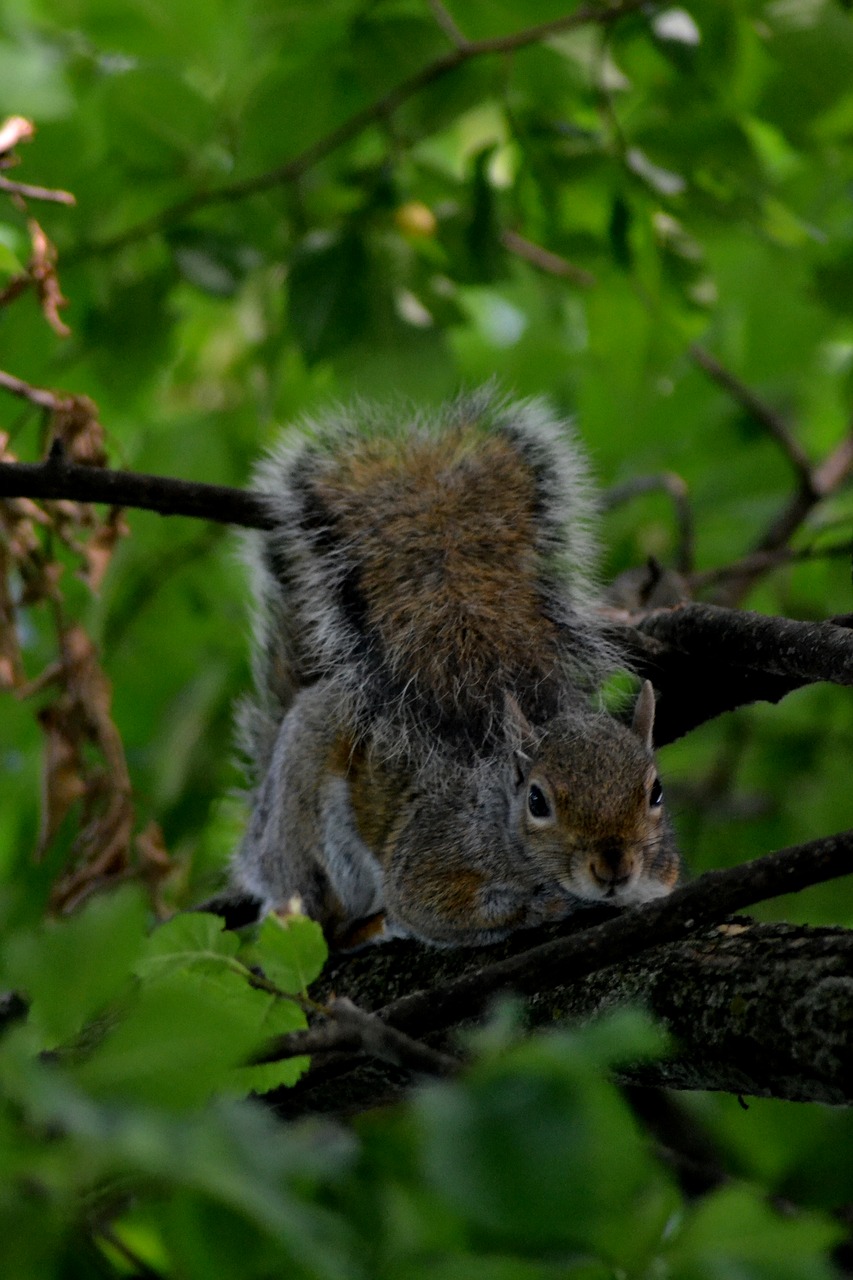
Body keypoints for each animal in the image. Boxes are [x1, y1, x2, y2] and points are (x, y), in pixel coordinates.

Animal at [227, 384, 676, 947]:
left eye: (655, 792)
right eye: (537, 801)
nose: (614, 866)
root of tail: (261, 837)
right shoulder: (430, 847)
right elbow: (431, 903)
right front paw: (538, 905)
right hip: (306, 835)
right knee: (321, 918)